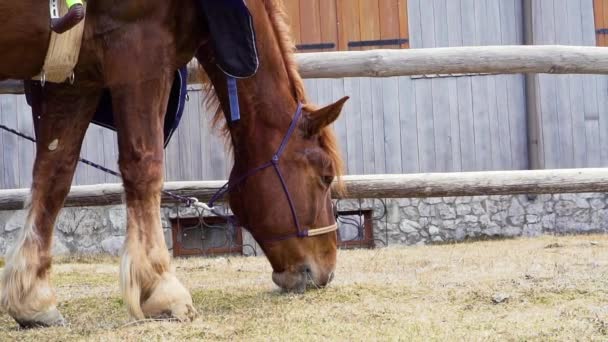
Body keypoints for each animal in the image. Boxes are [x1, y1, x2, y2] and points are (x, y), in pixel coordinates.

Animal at [0, 0, 346, 326]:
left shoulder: (75, 78)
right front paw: (161, 287)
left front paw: (32, 296)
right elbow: (145, 166)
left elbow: (54, 175)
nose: (327, 270)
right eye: (325, 176)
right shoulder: (140, 51)